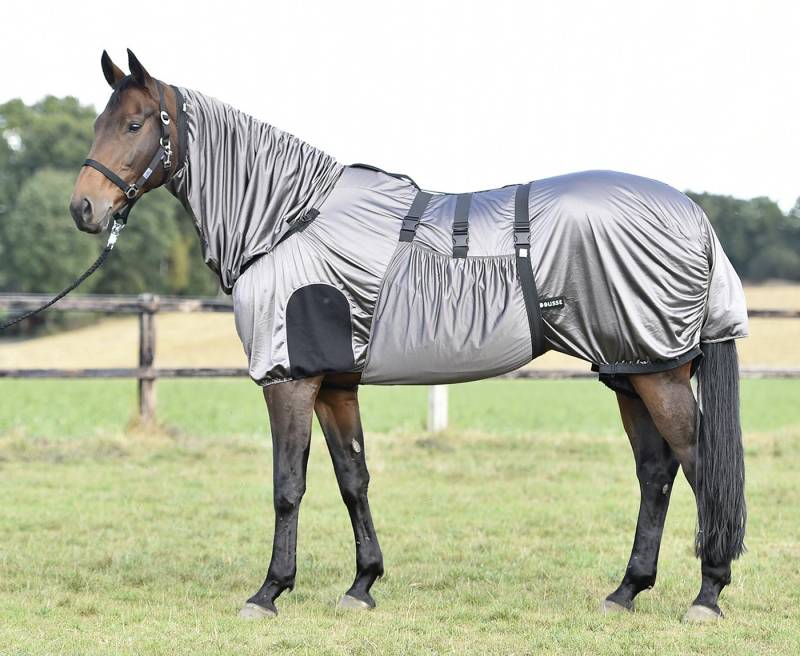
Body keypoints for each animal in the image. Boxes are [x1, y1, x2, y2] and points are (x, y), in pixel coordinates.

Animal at [70, 49, 747, 623]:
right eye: (100, 121)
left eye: (134, 124)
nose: (84, 210)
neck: (289, 221)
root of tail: (694, 215)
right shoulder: (335, 385)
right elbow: (353, 479)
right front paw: (362, 584)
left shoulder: (289, 379)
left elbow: (288, 486)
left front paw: (269, 592)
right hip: (630, 370)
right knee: (656, 471)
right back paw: (627, 590)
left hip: (659, 374)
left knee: (699, 465)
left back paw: (707, 595)